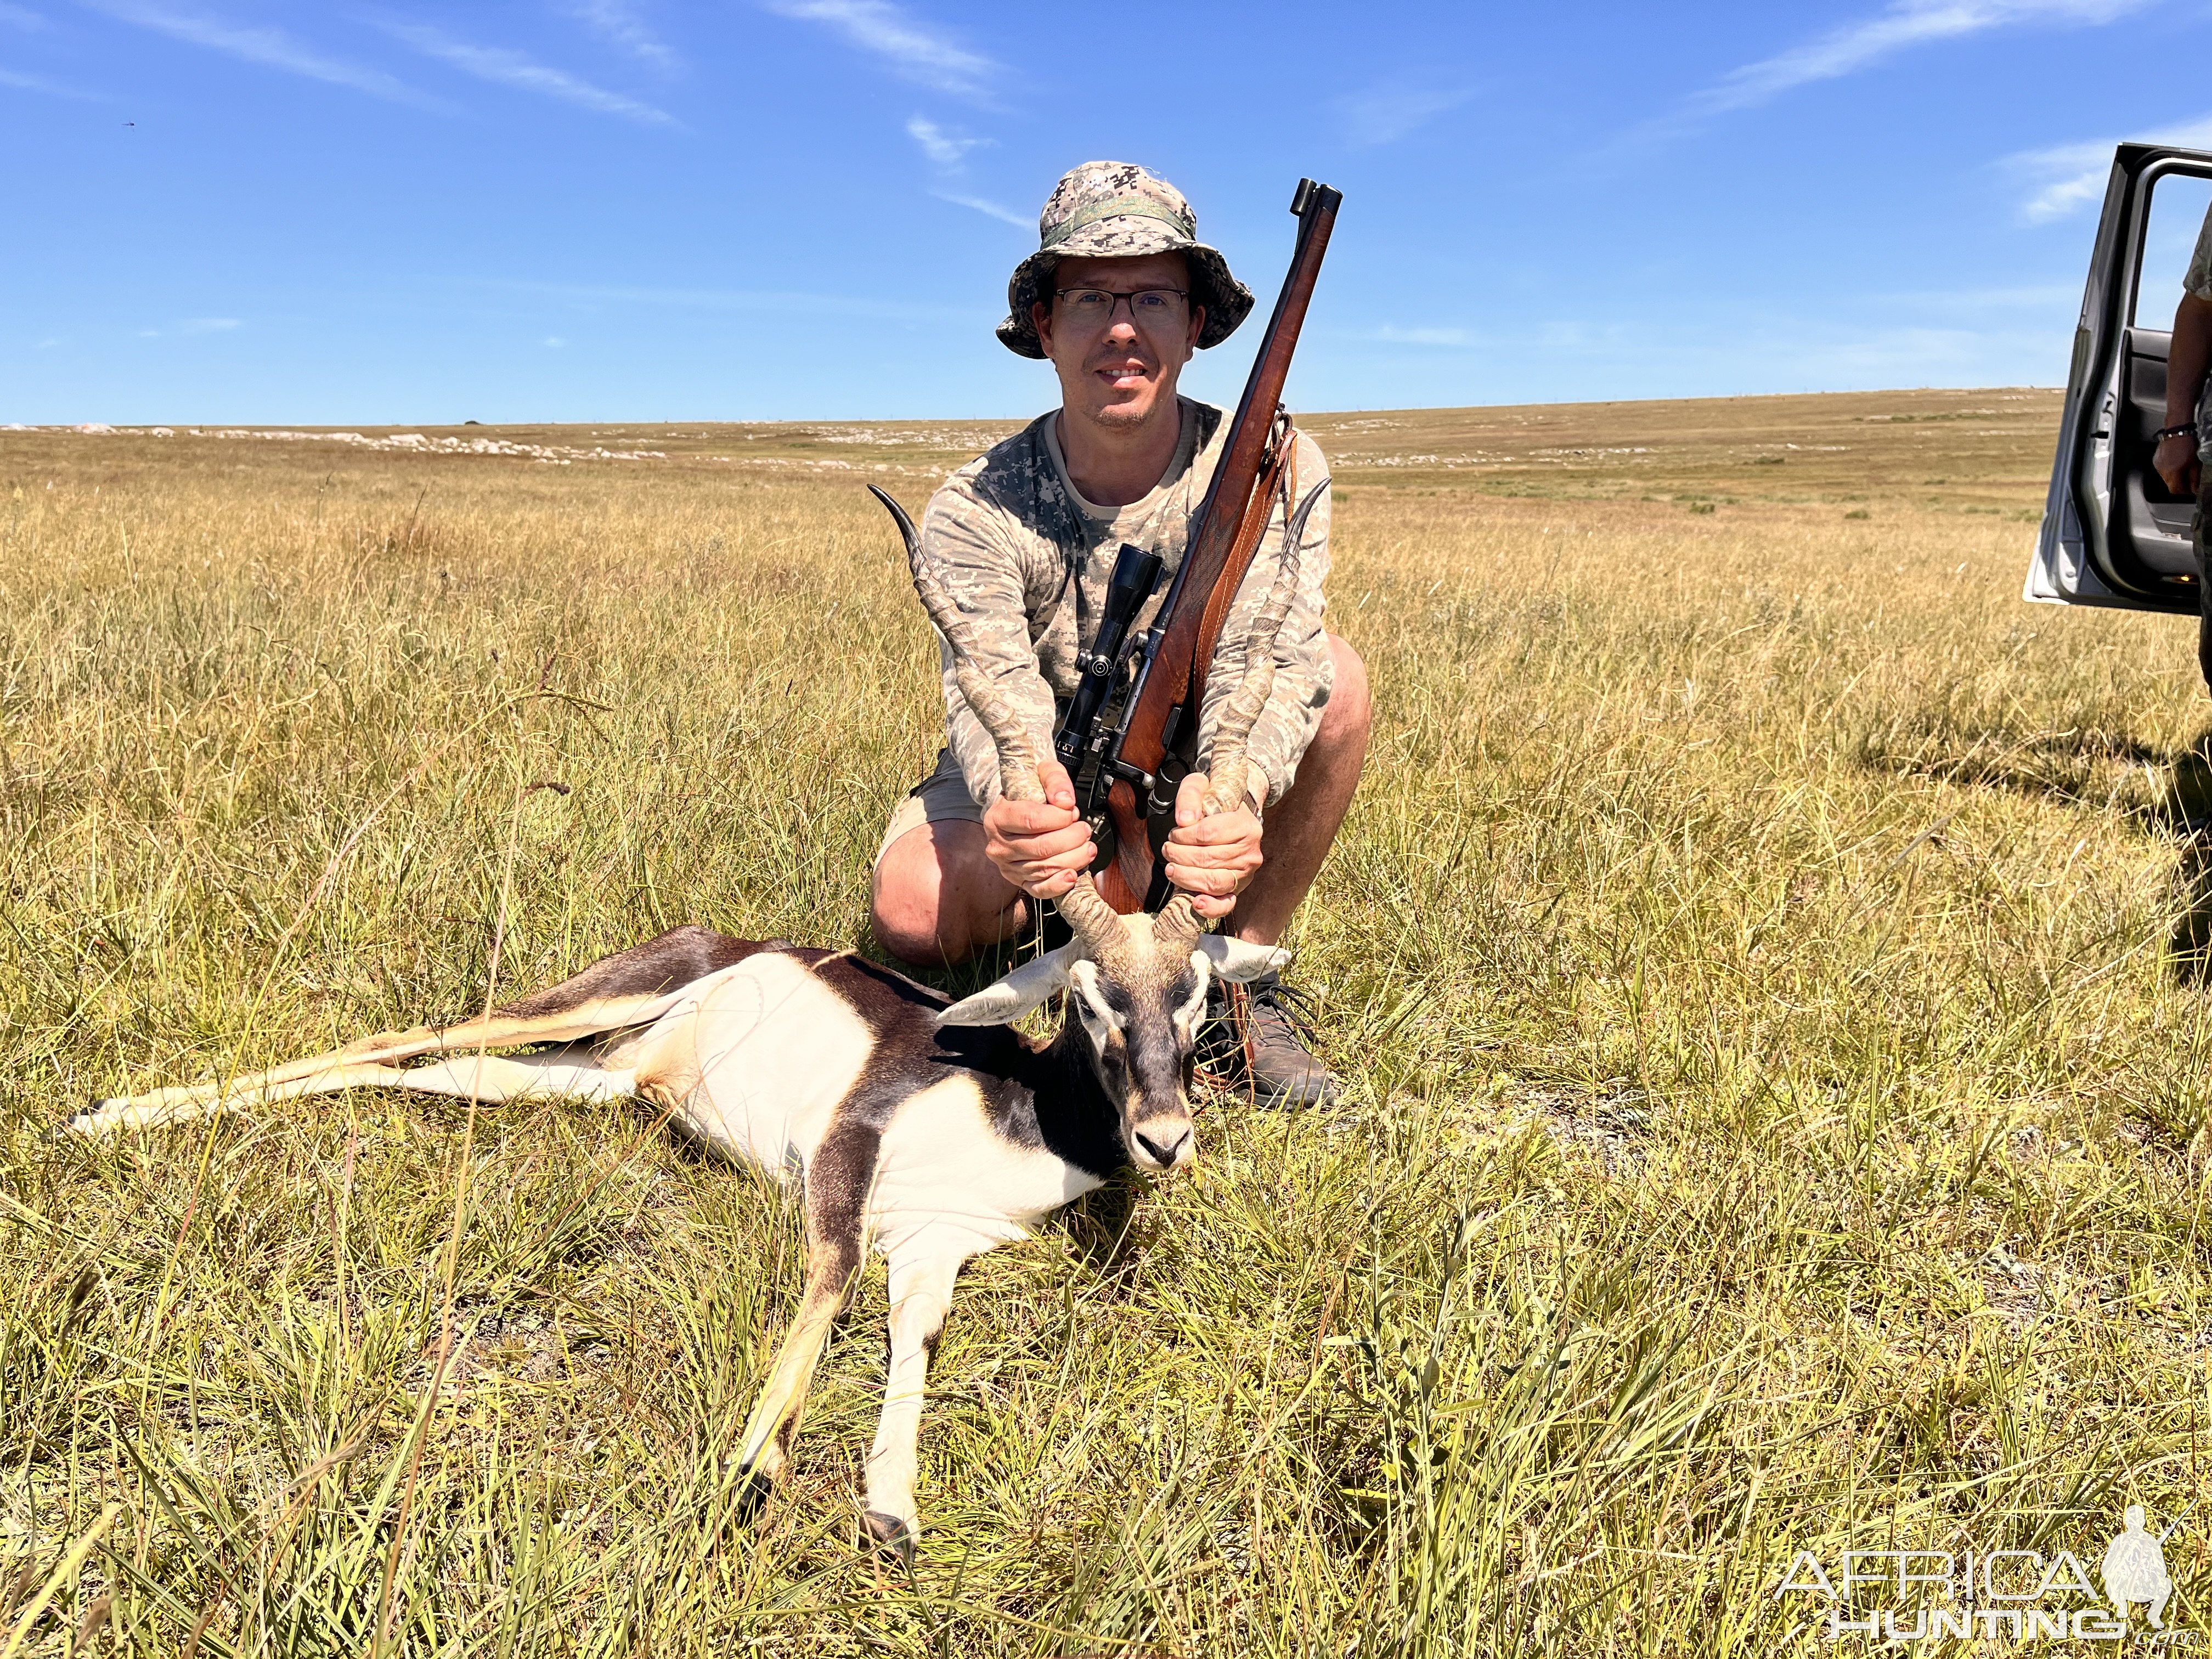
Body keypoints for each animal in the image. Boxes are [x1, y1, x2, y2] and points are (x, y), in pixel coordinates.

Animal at [64, 487, 1309, 1566]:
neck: (1019, 1110)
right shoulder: (849, 1150)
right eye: (1089, 997)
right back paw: (106, 1114)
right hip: (595, 998)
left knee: (428, 1071)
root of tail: (711, 945)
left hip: (587, 1079)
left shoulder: (937, 1238)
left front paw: (890, 1504)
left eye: (1197, 995)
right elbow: (830, 1285)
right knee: (389, 1041)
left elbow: (914, 1339)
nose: (1164, 1137)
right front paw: (752, 1468)